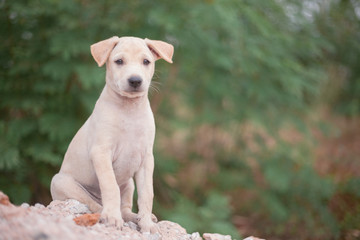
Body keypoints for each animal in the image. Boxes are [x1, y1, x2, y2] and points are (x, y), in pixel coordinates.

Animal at [50, 36, 174, 232]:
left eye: (146, 61)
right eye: (119, 61)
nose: (135, 80)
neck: (129, 110)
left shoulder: (146, 158)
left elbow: (147, 194)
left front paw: (146, 223)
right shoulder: (101, 152)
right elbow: (110, 186)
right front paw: (113, 218)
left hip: (129, 183)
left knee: (125, 208)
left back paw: (136, 217)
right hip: (62, 183)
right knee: (94, 204)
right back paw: (107, 214)